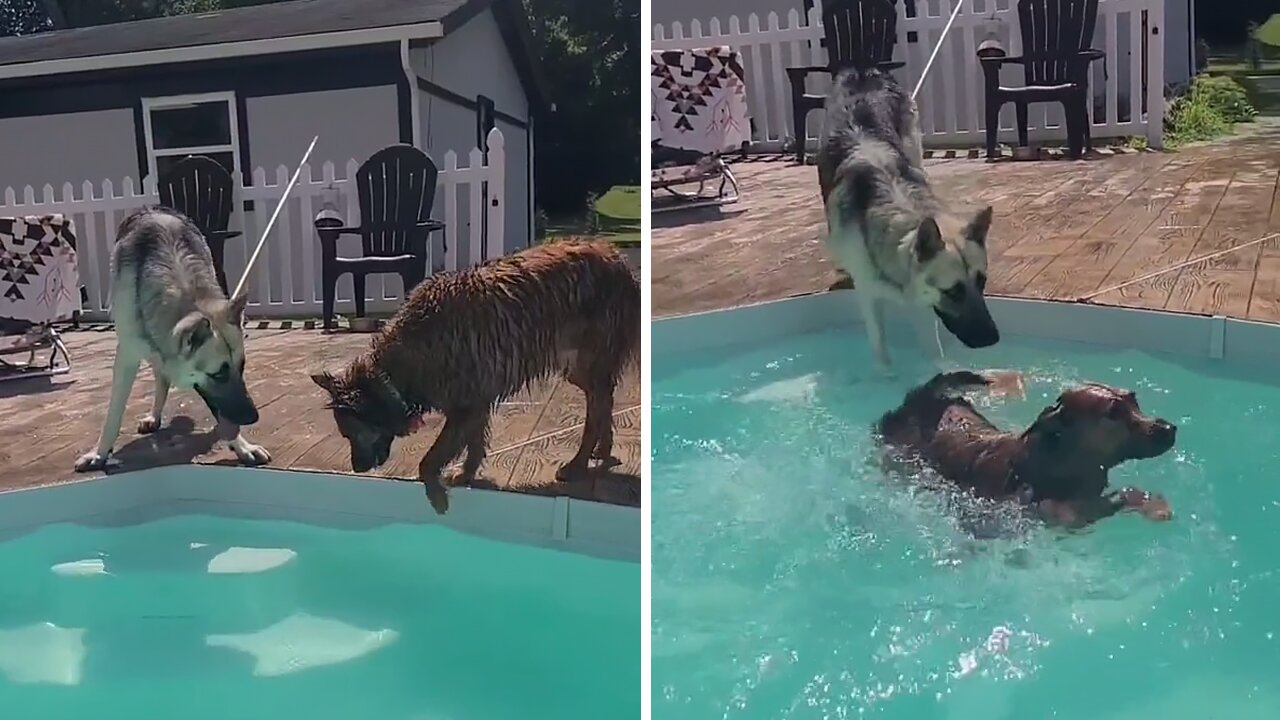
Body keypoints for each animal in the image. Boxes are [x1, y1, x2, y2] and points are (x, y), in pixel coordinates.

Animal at [73, 206, 268, 471]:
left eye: (242, 367)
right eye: (218, 374)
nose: (253, 417)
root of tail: (152, 208)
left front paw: (242, 447)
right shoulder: (126, 357)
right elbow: (113, 414)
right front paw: (99, 454)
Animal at [311, 238, 640, 512]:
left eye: (353, 432)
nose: (357, 468)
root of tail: (617, 258)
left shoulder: (465, 406)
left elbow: (430, 459)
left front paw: (437, 495)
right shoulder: (476, 402)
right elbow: (475, 442)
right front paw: (467, 473)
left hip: (584, 358)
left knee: (597, 405)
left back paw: (578, 464)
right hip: (574, 366)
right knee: (603, 398)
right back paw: (603, 448)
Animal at [819, 66, 998, 368]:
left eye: (981, 281)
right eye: (953, 291)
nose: (993, 339)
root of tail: (863, 72)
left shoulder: (923, 304)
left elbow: (932, 350)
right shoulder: (869, 297)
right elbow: (880, 348)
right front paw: (887, 375)